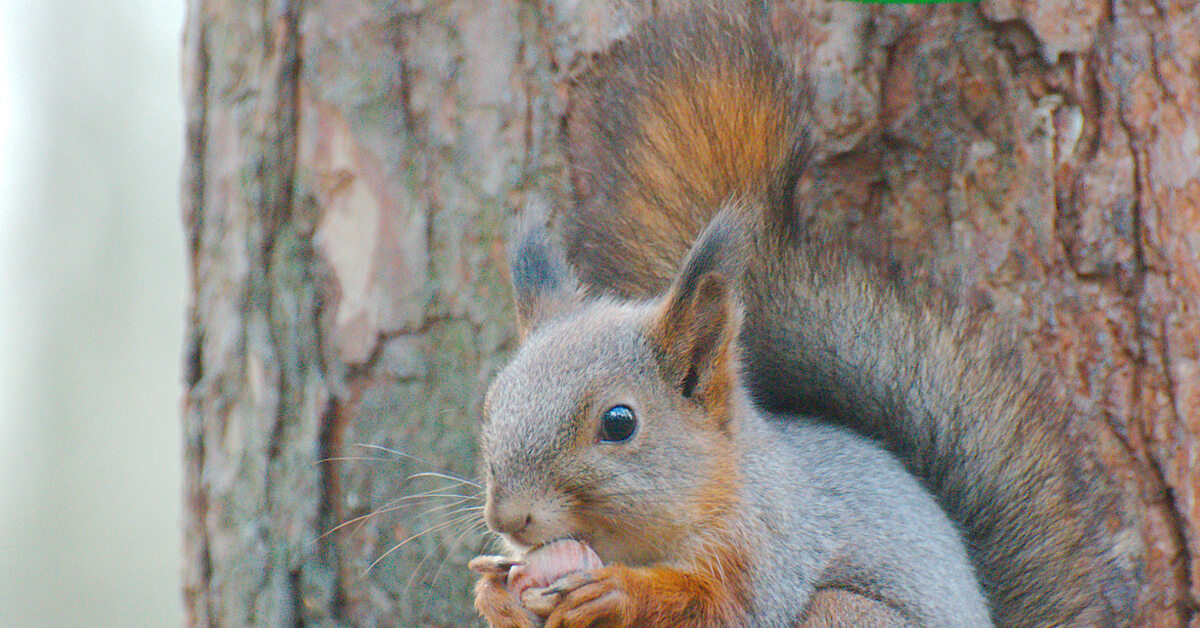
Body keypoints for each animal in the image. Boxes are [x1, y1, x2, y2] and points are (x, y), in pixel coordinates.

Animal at [465, 8, 1123, 628]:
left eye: (619, 423)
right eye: (490, 406)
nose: (509, 517)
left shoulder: (769, 546)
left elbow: (720, 605)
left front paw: (619, 593)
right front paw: (497, 593)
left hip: (843, 613)